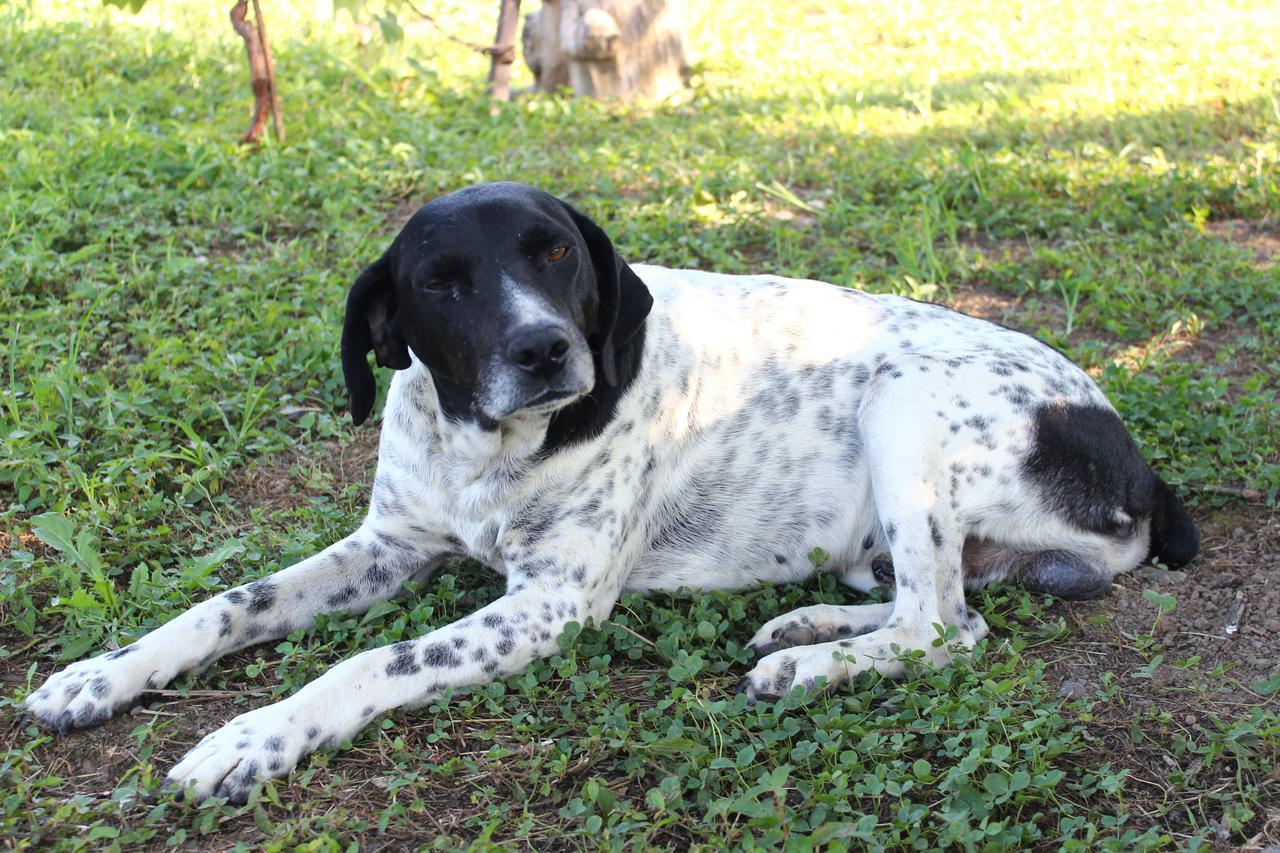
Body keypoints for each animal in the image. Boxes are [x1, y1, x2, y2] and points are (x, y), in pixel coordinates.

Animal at [22, 179, 1198, 799]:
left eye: (557, 255)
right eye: (441, 283)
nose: (545, 350)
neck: (484, 450)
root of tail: (1132, 452)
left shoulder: (548, 604)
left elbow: (369, 661)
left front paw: (253, 736)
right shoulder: (390, 545)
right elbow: (227, 602)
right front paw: (100, 675)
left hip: (900, 400)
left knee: (945, 626)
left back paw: (806, 665)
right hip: (889, 521)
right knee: (931, 599)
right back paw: (805, 624)